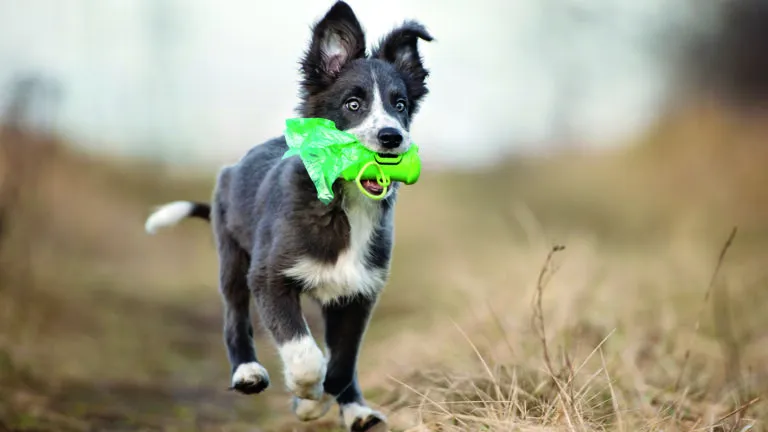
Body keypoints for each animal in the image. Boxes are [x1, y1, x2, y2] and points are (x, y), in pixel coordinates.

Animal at [144, 1, 432, 430]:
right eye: (353, 104)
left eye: (400, 105)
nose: (392, 138)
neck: (342, 205)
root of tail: (231, 169)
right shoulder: (269, 277)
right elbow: (306, 353)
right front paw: (307, 396)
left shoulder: (359, 293)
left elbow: (342, 363)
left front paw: (327, 402)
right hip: (233, 259)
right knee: (234, 318)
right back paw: (247, 372)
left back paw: (359, 413)